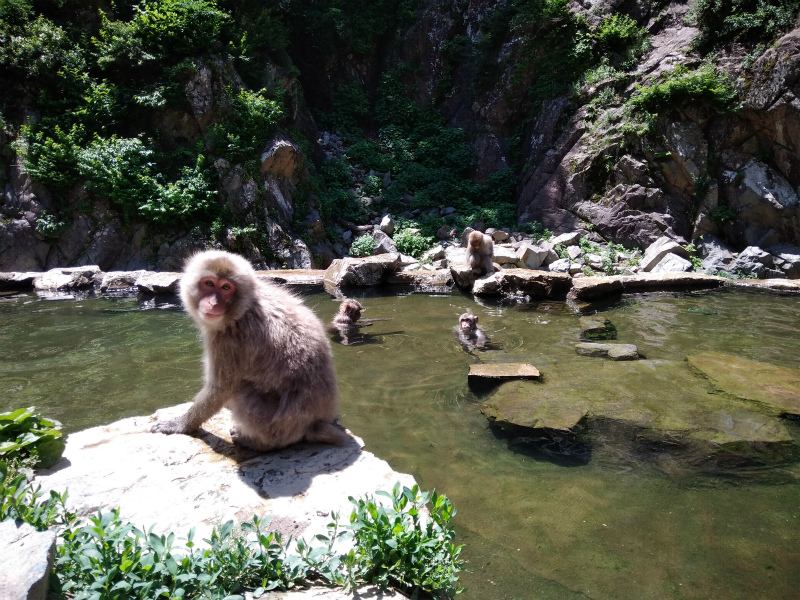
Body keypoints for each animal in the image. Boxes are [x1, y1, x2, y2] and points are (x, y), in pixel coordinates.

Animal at [152, 248, 348, 450]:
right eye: (209, 283)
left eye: (226, 288)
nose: (213, 303)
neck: (242, 310)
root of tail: (312, 425)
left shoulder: (229, 341)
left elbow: (220, 389)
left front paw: (181, 424)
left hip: (274, 426)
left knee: (241, 390)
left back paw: (257, 443)